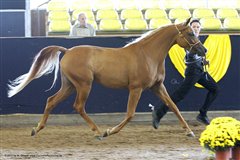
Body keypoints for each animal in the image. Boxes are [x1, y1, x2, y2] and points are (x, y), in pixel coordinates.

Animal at [7, 18, 206, 139]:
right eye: (190, 33)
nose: (203, 50)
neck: (148, 54)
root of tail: (68, 51)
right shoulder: (136, 88)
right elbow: (130, 114)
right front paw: (111, 131)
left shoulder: (157, 86)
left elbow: (173, 105)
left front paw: (189, 132)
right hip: (83, 85)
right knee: (78, 106)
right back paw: (98, 132)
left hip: (69, 85)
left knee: (51, 101)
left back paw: (36, 129)